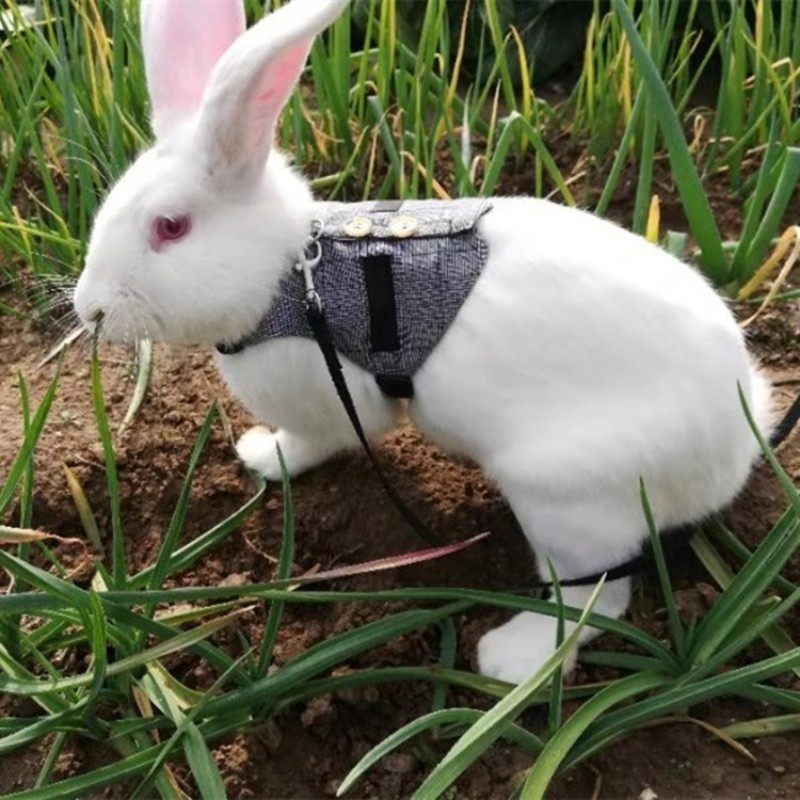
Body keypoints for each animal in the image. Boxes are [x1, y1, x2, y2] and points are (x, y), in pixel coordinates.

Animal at [73, 0, 773, 685]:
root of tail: (736, 445)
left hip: (566, 500)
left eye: (170, 227)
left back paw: (510, 659)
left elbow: (310, 443)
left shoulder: (331, 403)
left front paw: (264, 457)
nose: (89, 308)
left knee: (593, 599)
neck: (288, 273)